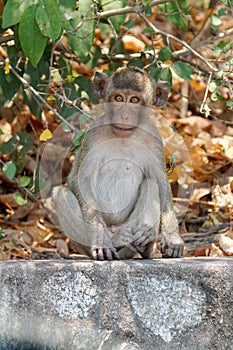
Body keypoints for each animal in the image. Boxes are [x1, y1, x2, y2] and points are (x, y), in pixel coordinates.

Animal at [52, 66, 184, 260]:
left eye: (135, 100)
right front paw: (99, 238)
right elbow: (81, 179)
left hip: (129, 225)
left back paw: (144, 242)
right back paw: (116, 241)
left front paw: (172, 237)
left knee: (150, 184)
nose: (124, 115)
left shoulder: (154, 139)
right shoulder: (92, 134)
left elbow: (160, 181)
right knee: (61, 194)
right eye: (119, 98)